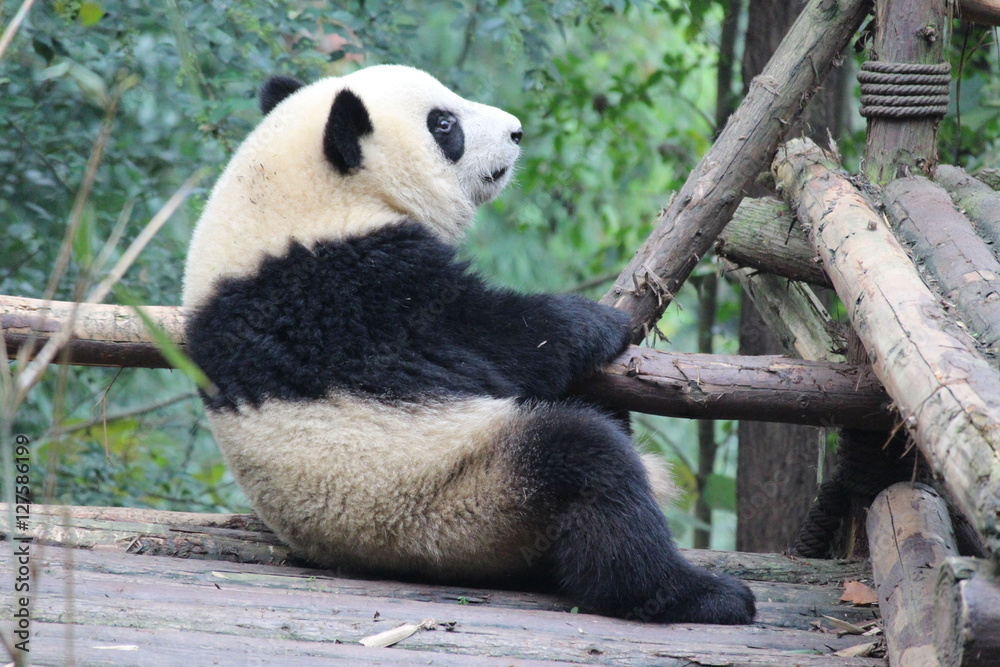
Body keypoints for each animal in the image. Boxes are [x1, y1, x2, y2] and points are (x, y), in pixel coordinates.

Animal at [182, 65, 755, 625]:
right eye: (444, 125)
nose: (517, 131)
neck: (290, 205)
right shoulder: (349, 292)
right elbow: (494, 338)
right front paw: (598, 322)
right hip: (455, 501)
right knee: (587, 467)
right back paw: (699, 594)